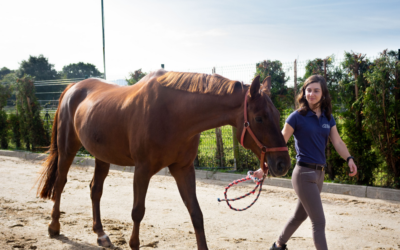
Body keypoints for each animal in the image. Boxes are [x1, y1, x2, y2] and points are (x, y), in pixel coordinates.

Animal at [36, 69, 290, 249]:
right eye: (259, 118)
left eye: (278, 115)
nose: (283, 164)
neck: (173, 114)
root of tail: (73, 88)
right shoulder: (142, 170)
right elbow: (137, 212)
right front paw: (134, 244)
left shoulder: (183, 169)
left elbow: (196, 214)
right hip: (68, 149)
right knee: (60, 183)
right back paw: (53, 227)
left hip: (102, 156)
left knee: (95, 190)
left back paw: (101, 234)